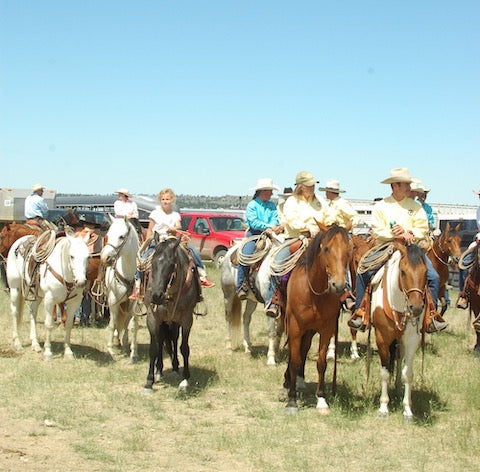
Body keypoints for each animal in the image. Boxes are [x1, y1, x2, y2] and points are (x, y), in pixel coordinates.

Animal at [99, 217, 139, 362]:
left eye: (121, 236)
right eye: (108, 235)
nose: (105, 258)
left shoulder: (134, 304)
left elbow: (132, 326)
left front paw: (133, 353)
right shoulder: (113, 301)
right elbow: (112, 324)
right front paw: (110, 350)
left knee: (126, 323)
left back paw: (125, 344)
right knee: (116, 321)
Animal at [142, 236, 200, 394]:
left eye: (171, 265)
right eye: (153, 263)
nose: (156, 295)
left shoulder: (186, 319)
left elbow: (184, 348)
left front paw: (185, 379)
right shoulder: (153, 317)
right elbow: (153, 348)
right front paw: (149, 381)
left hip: (174, 321)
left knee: (173, 339)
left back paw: (175, 367)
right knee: (161, 340)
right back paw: (159, 370)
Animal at [284, 227, 350, 414]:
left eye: (348, 251)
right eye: (326, 249)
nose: (338, 285)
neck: (313, 293)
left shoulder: (326, 330)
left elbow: (321, 363)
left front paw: (321, 399)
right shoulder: (295, 327)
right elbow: (294, 360)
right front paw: (291, 401)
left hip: (310, 331)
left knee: (304, 349)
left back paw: (299, 381)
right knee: (294, 353)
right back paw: (288, 383)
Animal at [372, 243, 428, 420]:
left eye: (425, 272)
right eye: (403, 271)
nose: (415, 307)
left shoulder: (411, 339)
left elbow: (408, 373)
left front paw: (407, 410)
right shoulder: (382, 338)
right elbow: (384, 372)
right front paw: (383, 407)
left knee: (398, 358)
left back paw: (397, 385)